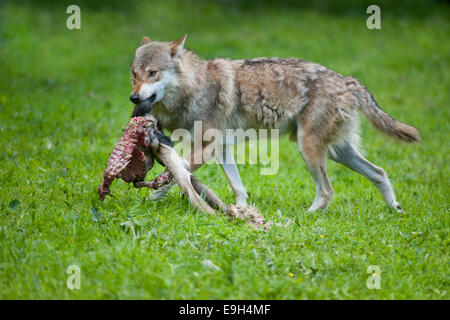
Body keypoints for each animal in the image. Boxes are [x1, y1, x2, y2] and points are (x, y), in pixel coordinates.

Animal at [128, 35, 420, 212]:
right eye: (134, 75)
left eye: (153, 73)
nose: (133, 98)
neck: (195, 87)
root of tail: (347, 81)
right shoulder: (222, 149)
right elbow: (237, 187)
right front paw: (242, 212)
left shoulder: (207, 147)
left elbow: (178, 168)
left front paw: (156, 194)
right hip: (338, 153)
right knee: (379, 173)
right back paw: (395, 210)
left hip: (310, 150)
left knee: (327, 191)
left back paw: (307, 216)